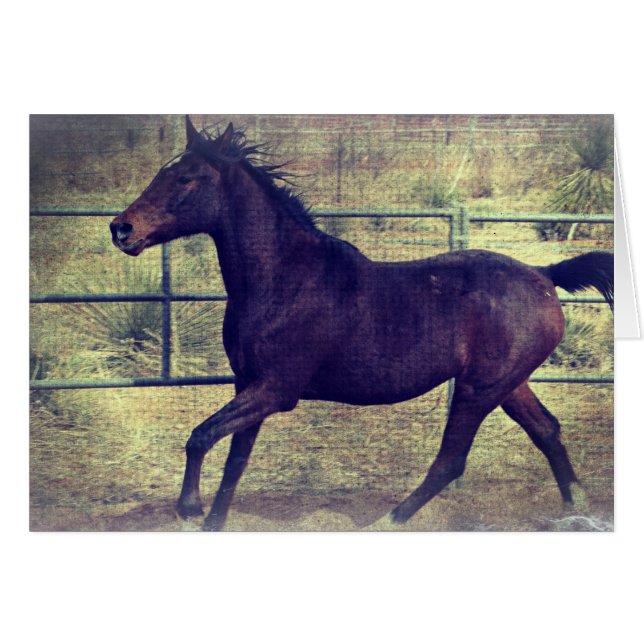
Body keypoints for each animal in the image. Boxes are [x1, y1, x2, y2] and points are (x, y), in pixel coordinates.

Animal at [110, 116, 613, 531]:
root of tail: (544, 274)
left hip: (479, 389)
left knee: (451, 460)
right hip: (506, 384)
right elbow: (234, 462)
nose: (121, 229)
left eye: (184, 177)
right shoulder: (247, 384)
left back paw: (389, 521)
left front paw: (188, 510)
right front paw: (209, 521)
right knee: (546, 431)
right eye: (161, 172)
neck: (284, 280)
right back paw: (577, 510)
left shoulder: (276, 390)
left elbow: (200, 437)